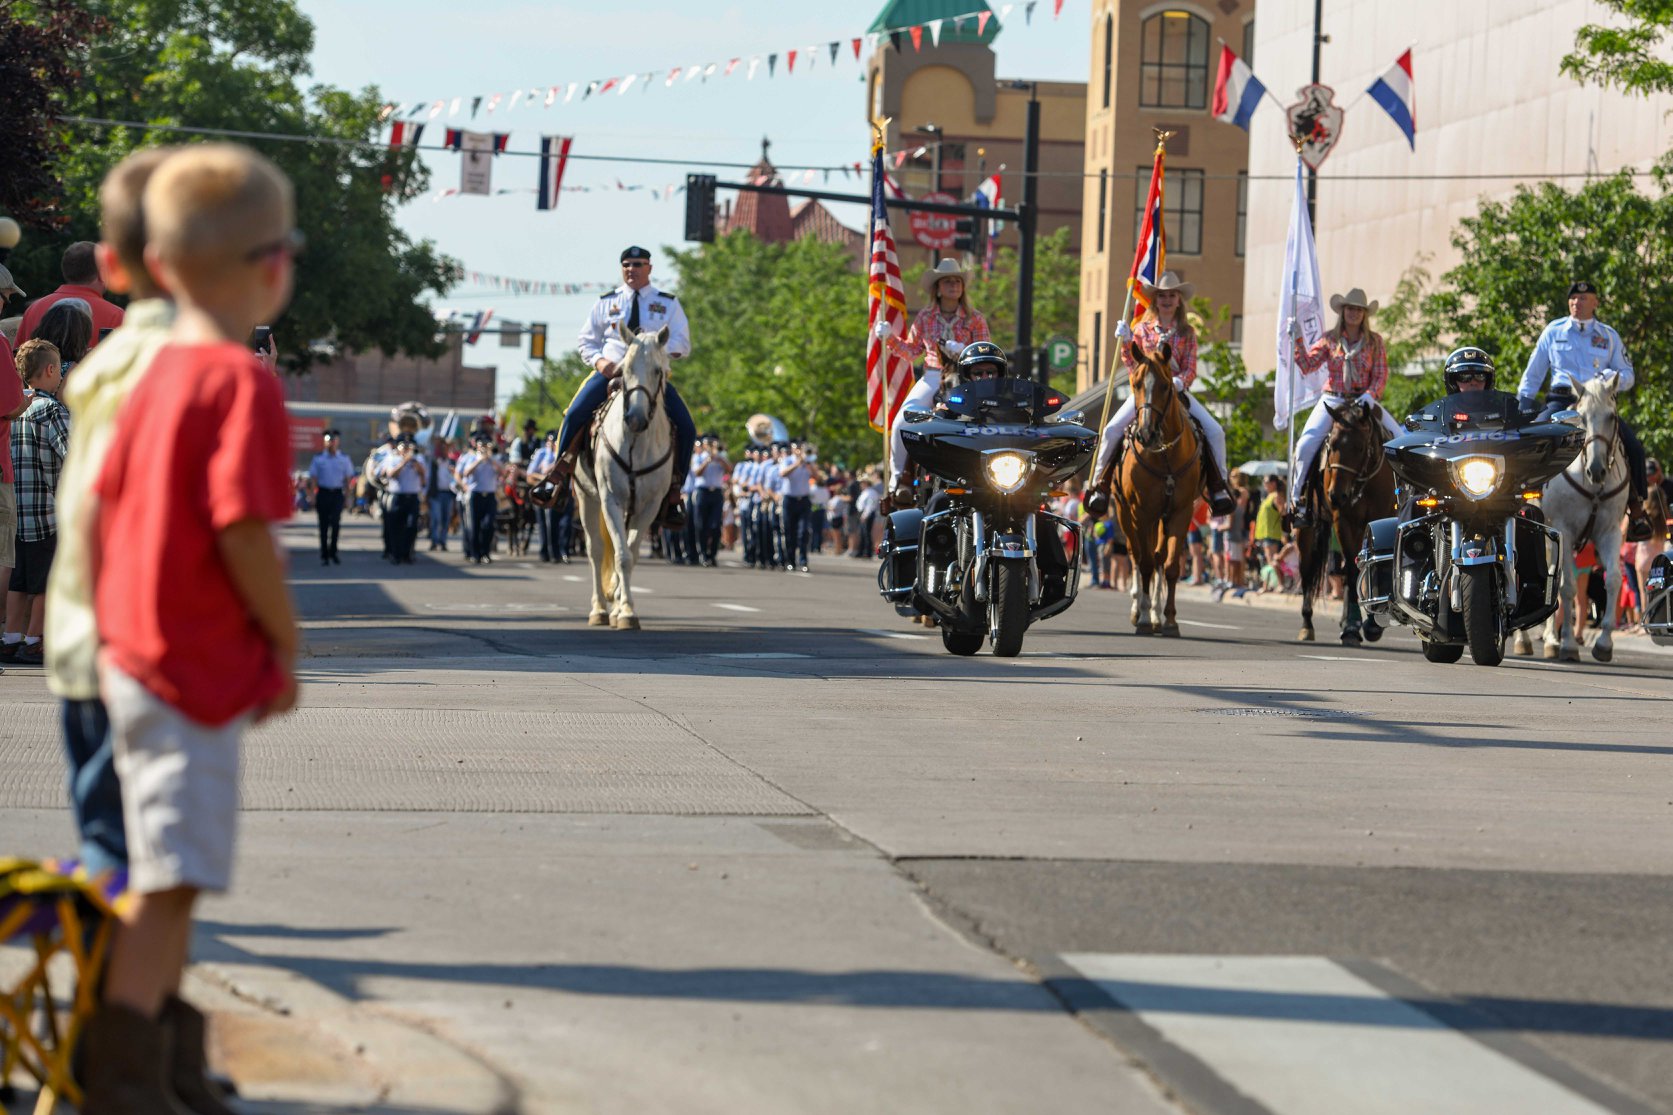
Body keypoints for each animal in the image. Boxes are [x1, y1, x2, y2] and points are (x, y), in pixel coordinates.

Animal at [575, 326, 672, 629]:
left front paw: (624, 606)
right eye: (624, 369)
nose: (636, 418)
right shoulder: (611, 500)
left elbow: (631, 554)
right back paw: (598, 609)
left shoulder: (650, 506)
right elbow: (621, 556)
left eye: (657, 370)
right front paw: (624, 609)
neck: (636, 444)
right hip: (586, 498)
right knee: (595, 551)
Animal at [1117, 338, 1197, 632]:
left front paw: (1170, 617)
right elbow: (1144, 563)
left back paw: (1155, 613)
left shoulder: (1181, 512)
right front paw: (1141, 616)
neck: (1165, 457)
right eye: (1135, 383)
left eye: (1165, 385)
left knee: (1158, 557)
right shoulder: (1140, 512)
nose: (1146, 434)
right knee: (1136, 554)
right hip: (1125, 513)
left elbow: (1171, 565)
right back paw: (1139, 609)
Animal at [1291, 400, 1398, 642]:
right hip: (1307, 532)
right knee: (1307, 570)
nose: (1336, 495)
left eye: (1359, 448)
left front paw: (1371, 625)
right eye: (1331, 447)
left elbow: (1371, 565)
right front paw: (1352, 626)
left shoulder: (1378, 518)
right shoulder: (1344, 521)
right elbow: (1352, 569)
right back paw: (1307, 624)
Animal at [1512, 373, 1626, 662]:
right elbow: (1567, 588)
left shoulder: (1610, 531)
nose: (1596, 470)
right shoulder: (1565, 529)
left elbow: (1613, 580)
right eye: (1581, 416)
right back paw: (1528, 639)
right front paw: (1568, 646)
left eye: (1611, 416)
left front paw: (1604, 644)